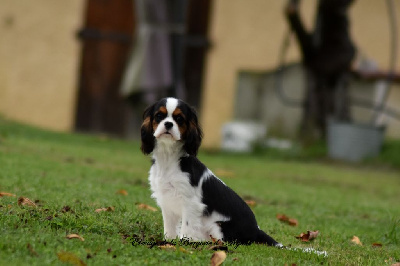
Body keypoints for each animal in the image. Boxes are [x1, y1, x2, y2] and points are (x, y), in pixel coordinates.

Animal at [142, 97, 280, 245]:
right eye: (159, 116)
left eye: (179, 119)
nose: (168, 124)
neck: (168, 157)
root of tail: (256, 230)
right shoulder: (167, 201)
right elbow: (169, 227)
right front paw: (169, 241)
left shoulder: (191, 203)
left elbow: (187, 226)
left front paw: (184, 242)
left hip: (217, 226)